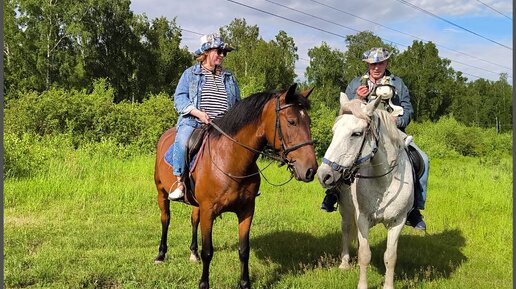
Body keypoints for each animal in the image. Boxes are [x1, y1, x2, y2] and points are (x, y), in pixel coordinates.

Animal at [153, 83, 318, 288]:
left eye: (309, 122)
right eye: (292, 121)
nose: (310, 169)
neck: (230, 159)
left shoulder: (246, 210)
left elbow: (244, 250)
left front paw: (245, 283)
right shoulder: (208, 210)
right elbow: (208, 251)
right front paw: (203, 283)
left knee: (193, 220)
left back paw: (193, 253)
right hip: (161, 192)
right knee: (165, 220)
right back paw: (160, 255)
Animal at [316, 92, 414, 288]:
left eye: (357, 133)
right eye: (334, 132)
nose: (323, 175)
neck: (385, 182)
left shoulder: (398, 222)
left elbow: (390, 257)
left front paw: (388, 285)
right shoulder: (362, 219)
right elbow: (364, 254)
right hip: (346, 210)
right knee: (346, 229)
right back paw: (344, 263)